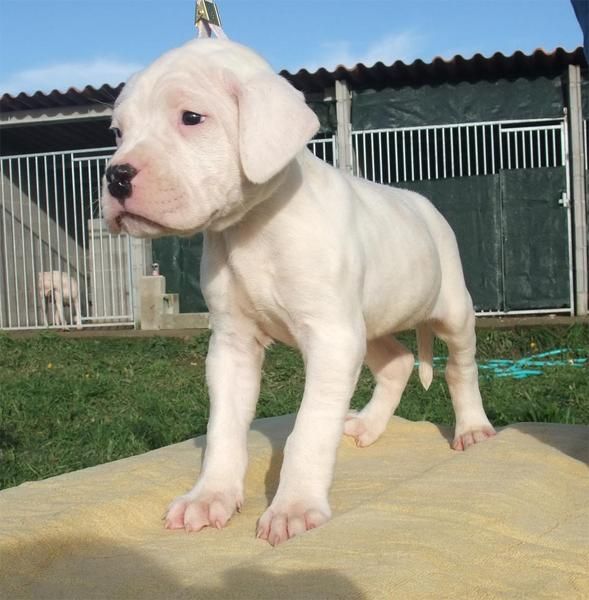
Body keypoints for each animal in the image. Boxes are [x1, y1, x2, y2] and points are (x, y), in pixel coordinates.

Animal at [103, 36, 494, 544]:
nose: (116, 176)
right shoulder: (234, 345)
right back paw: (368, 425)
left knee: (459, 368)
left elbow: (309, 429)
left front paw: (295, 507)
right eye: (117, 132)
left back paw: (472, 427)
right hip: (367, 325)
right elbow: (224, 428)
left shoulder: (330, 339)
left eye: (191, 117)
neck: (253, 227)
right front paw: (209, 497)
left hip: (451, 310)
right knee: (398, 361)